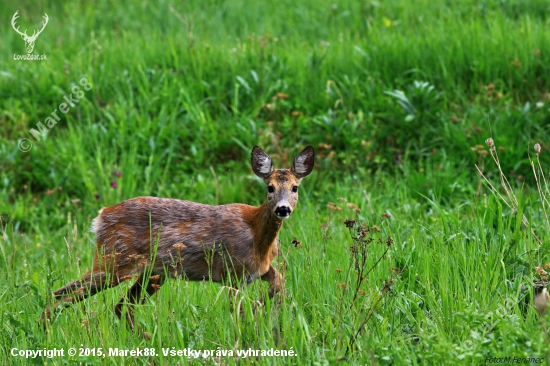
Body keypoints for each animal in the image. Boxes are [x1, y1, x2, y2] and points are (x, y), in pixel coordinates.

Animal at [41, 145, 316, 328]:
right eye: (270, 187)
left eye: (295, 188)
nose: (283, 209)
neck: (257, 235)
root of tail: (100, 218)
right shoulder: (232, 271)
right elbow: (238, 312)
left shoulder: (259, 268)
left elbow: (279, 283)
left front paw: (265, 304)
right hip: (114, 261)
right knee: (60, 293)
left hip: (152, 274)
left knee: (120, 307)